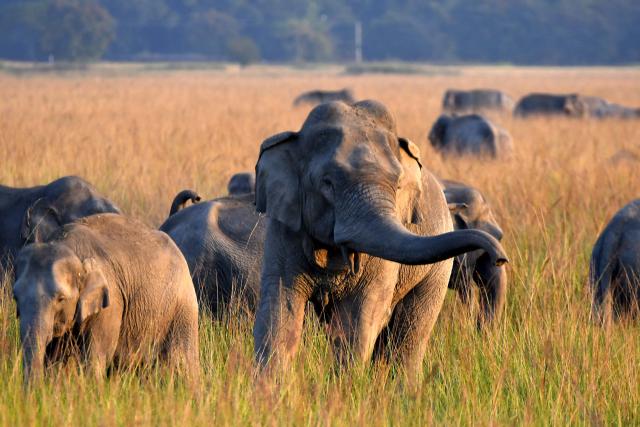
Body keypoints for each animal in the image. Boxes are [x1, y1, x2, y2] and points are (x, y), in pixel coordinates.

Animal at [13, 214, 200, 384]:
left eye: (61, 298)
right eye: (15, 297)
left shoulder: (112, 301)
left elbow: (97, 354)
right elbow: (54, 359)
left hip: (182, 309)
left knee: (183, 361)